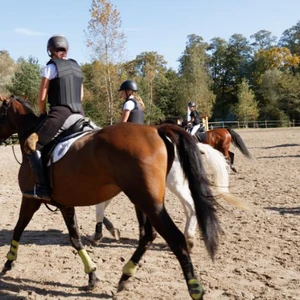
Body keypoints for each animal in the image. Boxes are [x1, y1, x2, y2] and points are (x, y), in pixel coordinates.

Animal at [0, 97, 230, 298]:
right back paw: (126, 275)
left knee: (175, 236)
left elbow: (19, 228)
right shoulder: (65, 204)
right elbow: (75, 238)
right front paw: (92, 275)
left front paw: (8, 262)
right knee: (150, 234)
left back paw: (194, 287)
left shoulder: (31, 199)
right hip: (143, 199)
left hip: (148, 200)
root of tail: (156, 129)